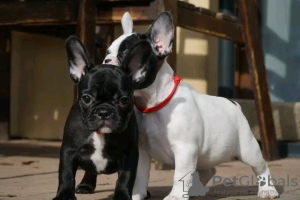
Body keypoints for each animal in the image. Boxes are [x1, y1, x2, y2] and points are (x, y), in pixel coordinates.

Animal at [52, 36, 152, 200]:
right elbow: (66, 174)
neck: (100, 133)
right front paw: (64, 195)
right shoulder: (69, 150)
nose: (104, 111)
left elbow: (125, 178)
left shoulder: (129, 154)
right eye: (87, 98)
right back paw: (86, 185)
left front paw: (122, 196)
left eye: (124, 100)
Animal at [102, 11, 280, 199]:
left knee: (261, 166)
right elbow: (140, 175)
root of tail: (233, 103)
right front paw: (136, 195)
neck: (152, 103)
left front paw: (175, 196)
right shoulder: (142, 151)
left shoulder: (184, 149)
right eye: (107, 52)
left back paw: (268, 190)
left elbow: (180, 175)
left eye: (125, 54)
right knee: (208, 169)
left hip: (247, 148)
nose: (106, 60)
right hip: (206, 154)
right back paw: (195, 190)